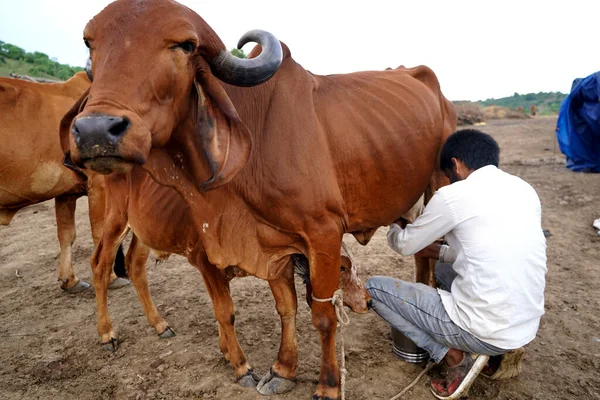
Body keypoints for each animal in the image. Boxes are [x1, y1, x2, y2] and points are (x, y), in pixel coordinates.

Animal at [0, 72, 126, 290]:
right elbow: (101, 232)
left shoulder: (66, 193)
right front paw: (111, 277)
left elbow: (67, 235)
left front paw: (69, 280)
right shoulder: (99, 185)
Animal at [61, 0, 454, 396]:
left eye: (185, 45)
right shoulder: (271, 243)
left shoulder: (323, 234)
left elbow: (323, 314)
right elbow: (285, 307)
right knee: (111, 264)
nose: (96, 131)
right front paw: (282, 370)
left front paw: (328, 384)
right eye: (90, 43)